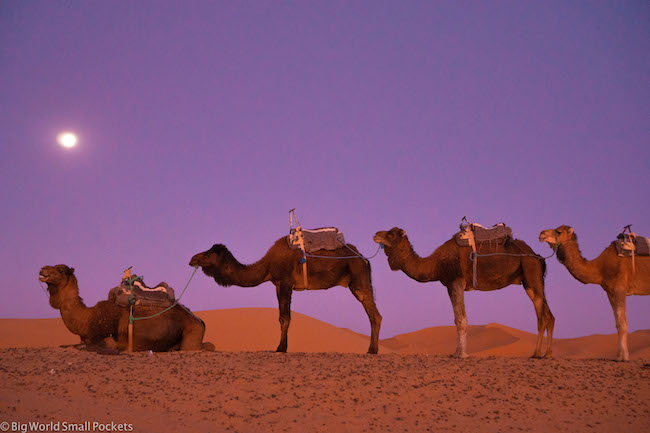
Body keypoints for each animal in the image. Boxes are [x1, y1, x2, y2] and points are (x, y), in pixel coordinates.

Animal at [37, 264, 208, 352]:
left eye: (60, 270)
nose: (42, 270)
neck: (88, 318)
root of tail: (199, 320)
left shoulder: (106, 340)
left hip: (192, 331)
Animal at [189, 238, 380, 352]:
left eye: (207, 254)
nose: (192, 259)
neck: (267, 265)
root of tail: (364, 259)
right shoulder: (278, 285)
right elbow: (282, 316)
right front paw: (283, 346)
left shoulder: (286, 282)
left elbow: (285, 317)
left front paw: (280, 348)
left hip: (358, 278)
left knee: (374, 314)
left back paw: (372, 350)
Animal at [374, 226, 552, 358]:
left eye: (391, 233)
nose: (376, 234)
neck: (436, 263)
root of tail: (537, 256)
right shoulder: (449, 285)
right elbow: (456, 318)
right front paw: (456, 352)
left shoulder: (457, 281)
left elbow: (461, 319)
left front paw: (461, 354)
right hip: (533, 281)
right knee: (549, 315)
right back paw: (547, 354)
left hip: (531, 275)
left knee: (541, 316)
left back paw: (536, 354)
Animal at [536, 224, 648, 360]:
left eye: (559, 231)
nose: (541, 234)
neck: (599, 267)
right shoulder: (610, 292)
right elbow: (617, 324)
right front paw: (618, 356)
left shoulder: (620, 289)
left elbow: (623, 324)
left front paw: (624, 357)